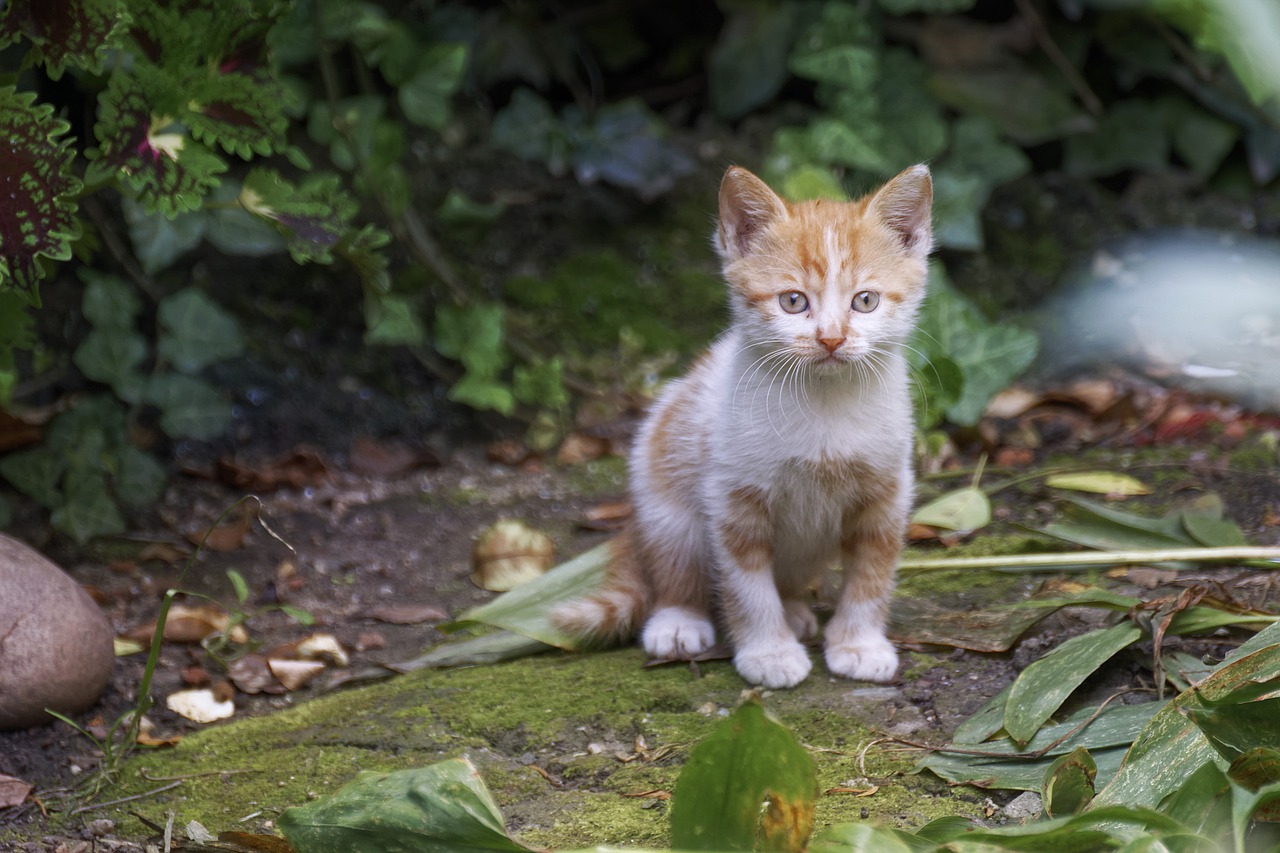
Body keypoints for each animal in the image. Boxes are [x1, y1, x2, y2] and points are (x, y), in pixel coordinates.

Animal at [550, 162, 931, 686]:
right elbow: (747, 587)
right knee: (676, 564)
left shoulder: (887, 491)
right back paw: (679, 620)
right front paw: (768, 653)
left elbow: (872, 572)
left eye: (866, 301)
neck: (824, 404)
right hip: (666, 493)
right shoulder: (732, 496)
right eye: (793, 302)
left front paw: (859, 643)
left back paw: (794, 610)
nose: (831, 339)